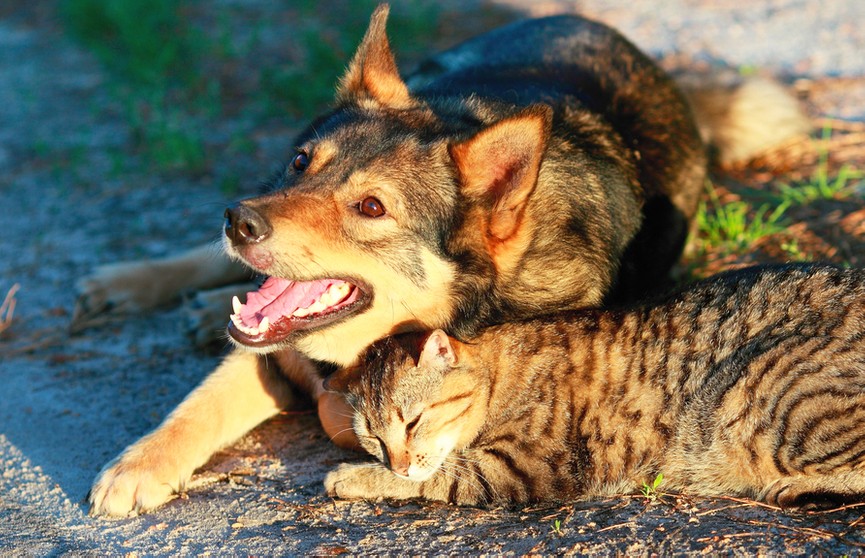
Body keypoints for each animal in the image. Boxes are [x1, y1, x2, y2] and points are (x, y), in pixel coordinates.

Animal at [82, 4, 808, 520]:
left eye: (372, 208)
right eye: (299, 162)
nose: (238, 220)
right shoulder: (273, 350)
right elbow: (199, 403)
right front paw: (137, 466)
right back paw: (139, 284)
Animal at [322, 264, 864, 510]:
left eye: (414, 421)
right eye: (373, 436)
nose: (396, 460)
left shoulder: (514, 469)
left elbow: (433, 480)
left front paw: (350, 476)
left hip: (761, 393)